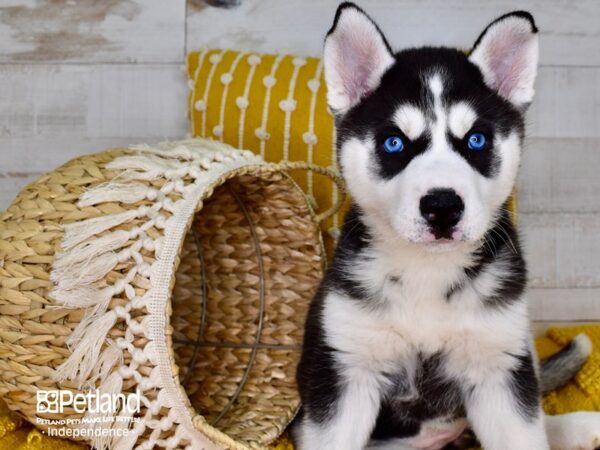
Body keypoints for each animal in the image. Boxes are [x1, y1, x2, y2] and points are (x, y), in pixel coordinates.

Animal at [294, 3, 600, 450]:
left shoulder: (498, 369)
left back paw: (579, 426)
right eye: (393, 143)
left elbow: (524, 432)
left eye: (476, 140)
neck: (427, 271)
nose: (442, 207)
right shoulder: (345, 371)